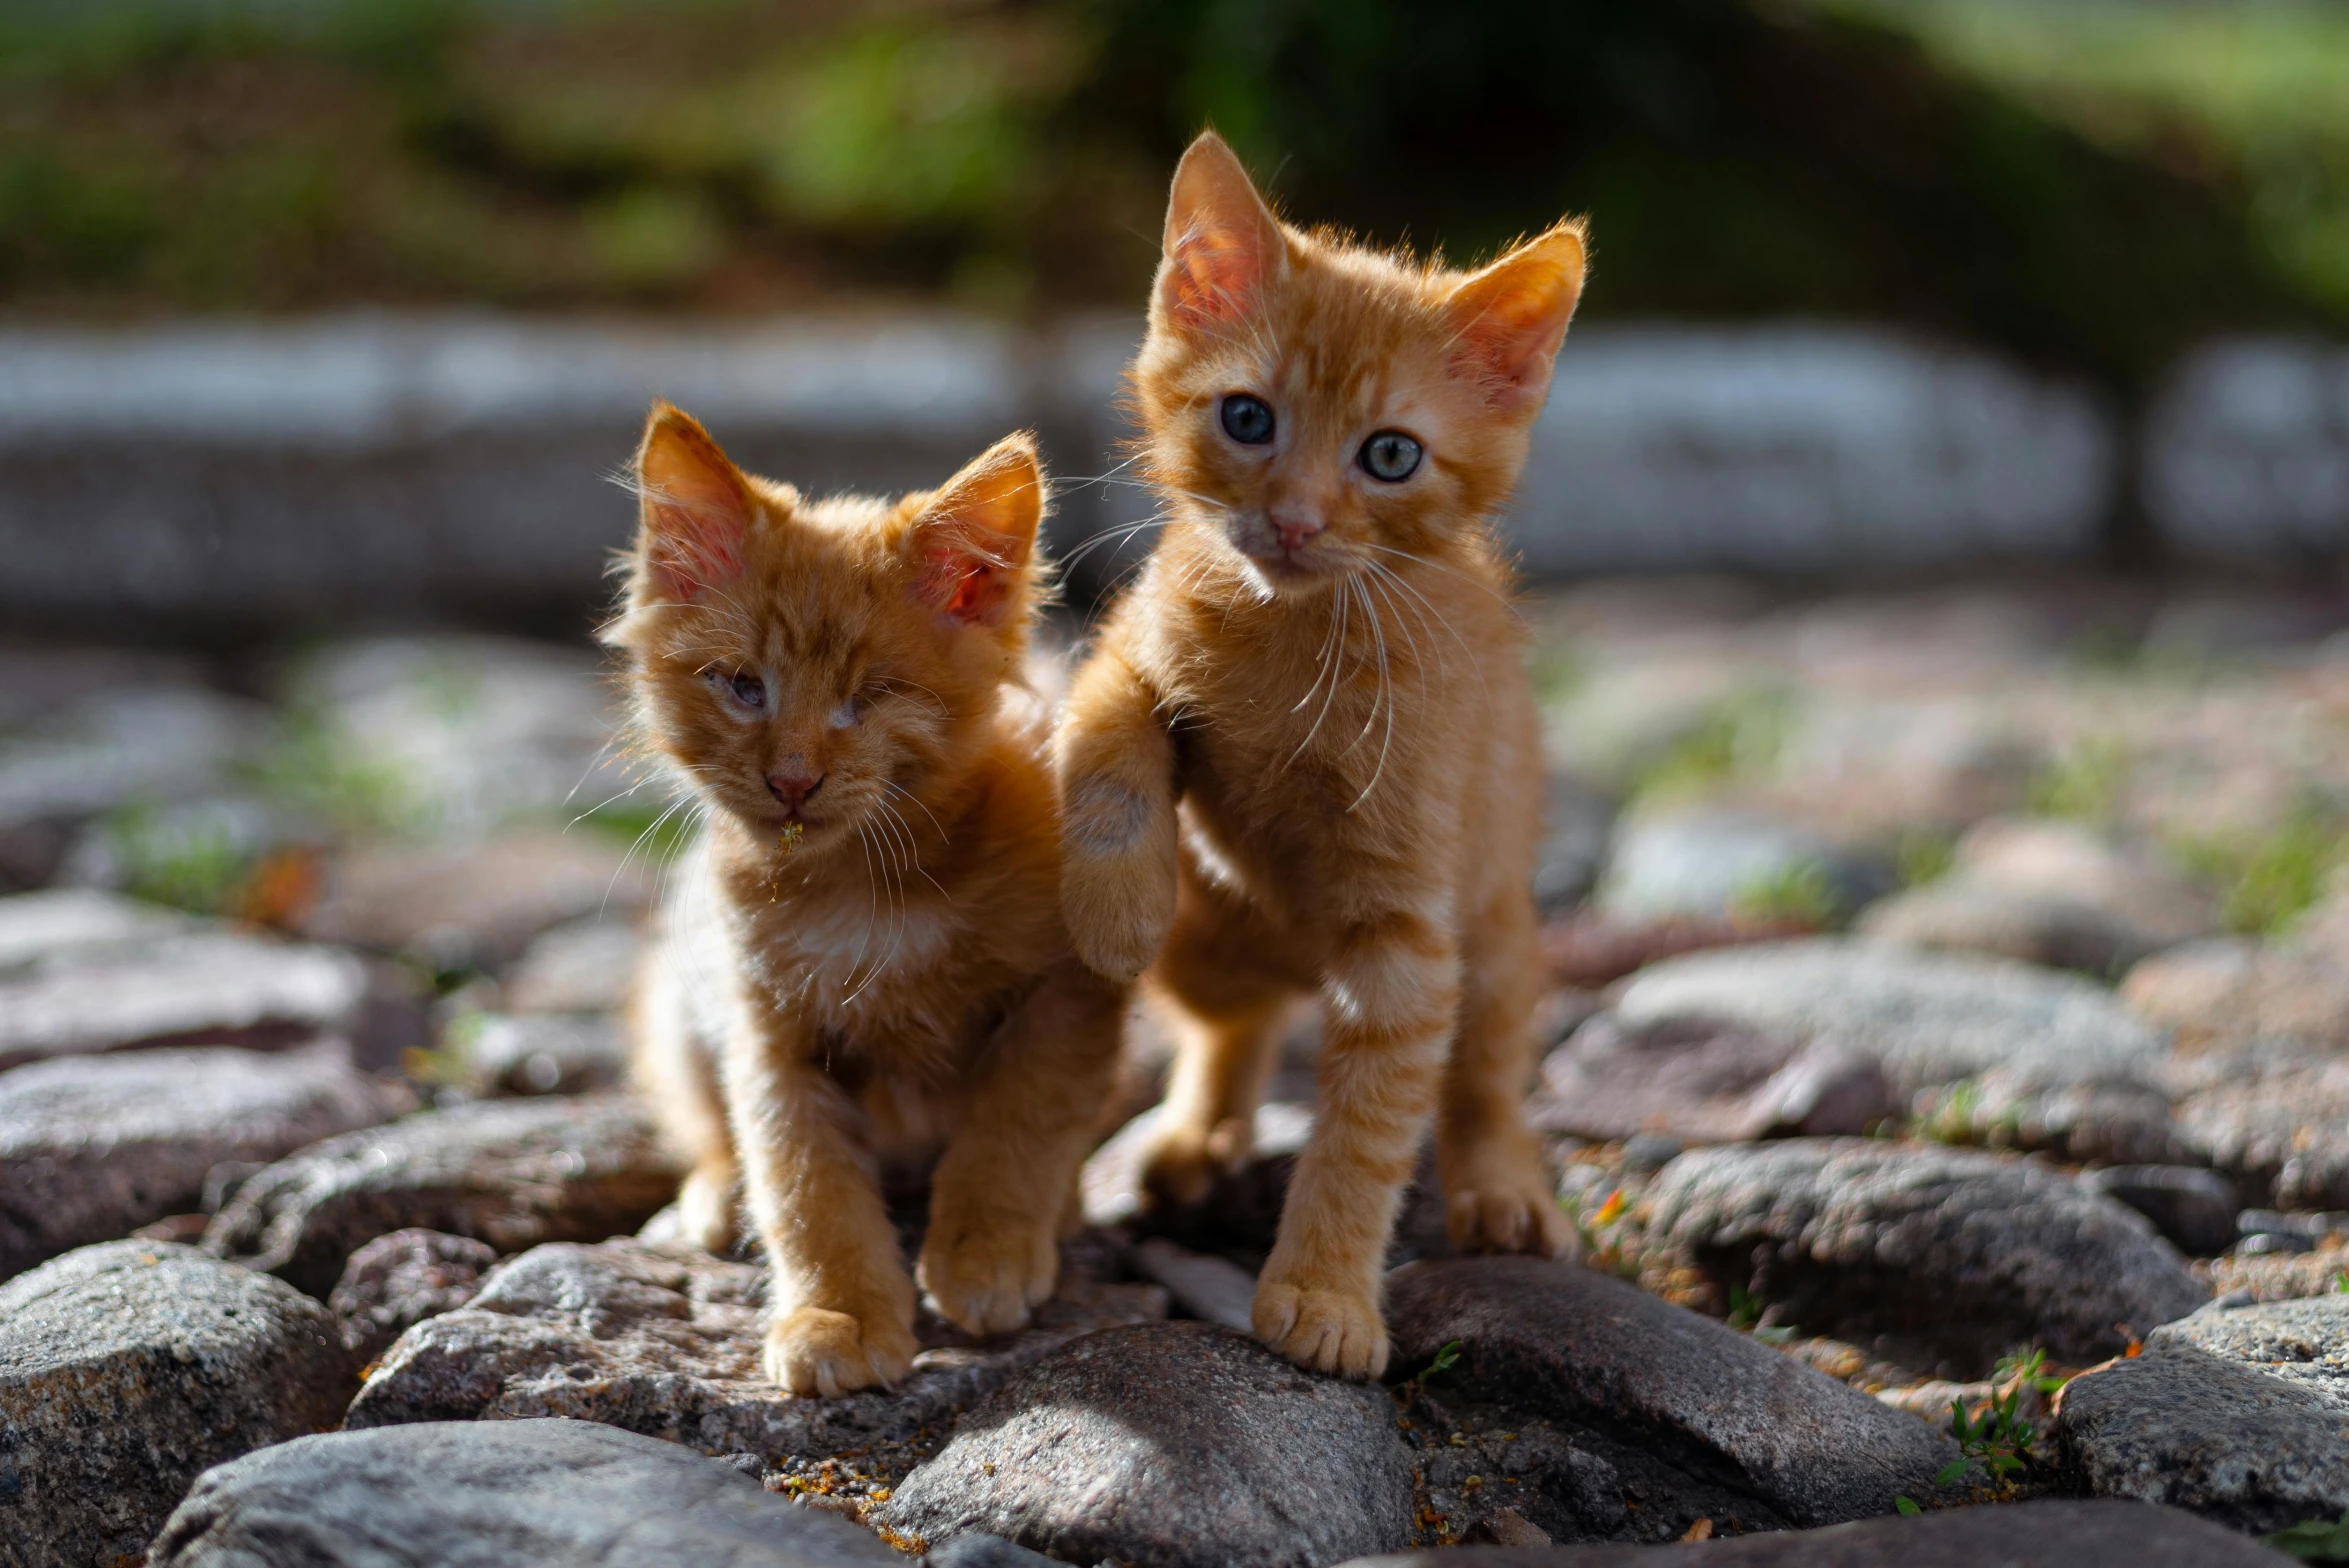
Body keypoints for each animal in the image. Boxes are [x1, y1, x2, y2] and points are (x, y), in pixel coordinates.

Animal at [601, 403, 1122, 1398]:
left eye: (871, 697)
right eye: (742, 686)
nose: (792, 778)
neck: (871, 891)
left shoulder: (1068, 993)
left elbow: (1020, 1121)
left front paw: (987, 1248)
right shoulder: (767, 1030)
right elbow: (804, 1182)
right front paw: (835, 1313)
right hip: (678, 1001)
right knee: (705, 1120)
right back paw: (716, 1192)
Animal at [1071, 140, 1597, 1380]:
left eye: (1390, 454)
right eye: (1248, 417)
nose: (1298, 519)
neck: (1296, 633)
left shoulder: (1406, 933)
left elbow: (1367, 1129)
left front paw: (1323, 1291)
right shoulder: (1124, 645)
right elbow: (1111, 736)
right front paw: (1113, 900)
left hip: (1494, 938)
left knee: (1486, 1069)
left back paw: (1505, 1187)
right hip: (1207, 946)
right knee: (1238, 1022)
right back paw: (1197, 1126)